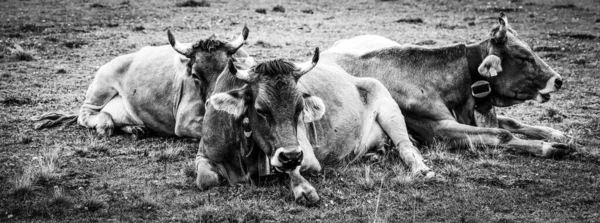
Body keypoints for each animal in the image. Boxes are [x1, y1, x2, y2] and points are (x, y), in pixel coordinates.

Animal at [31, 25, 255, 138]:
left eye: (227, 71)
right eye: (195, 75)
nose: (212, 104)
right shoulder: (185, 122)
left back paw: (134, 128)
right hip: (101, 86)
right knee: (85, 115)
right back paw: (104, 125)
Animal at [322, 12, 568, 157]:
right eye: (523, 57)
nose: (558, 80)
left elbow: (510, 123)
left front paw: (555, 134)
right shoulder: (439, 129)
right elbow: (501, 133)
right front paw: (549, 147)